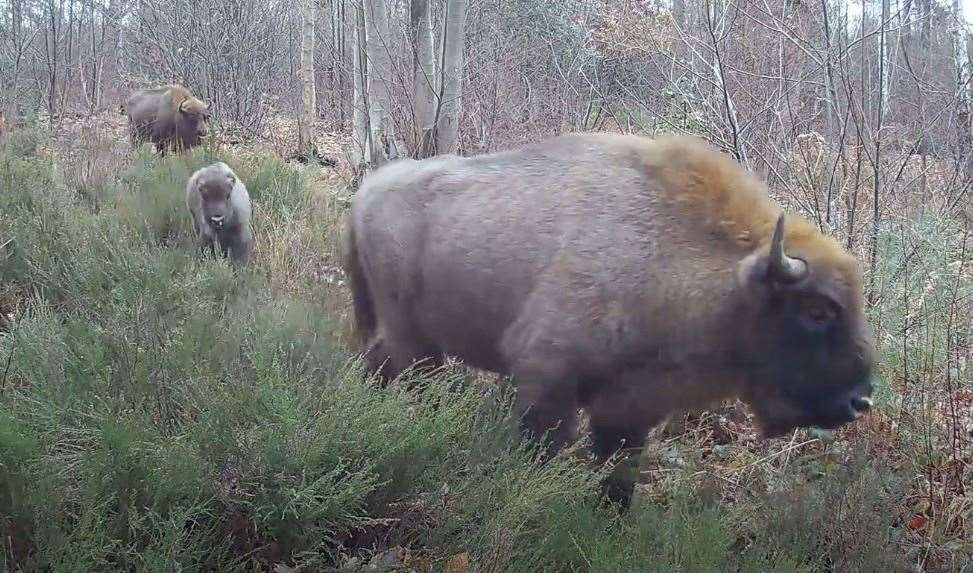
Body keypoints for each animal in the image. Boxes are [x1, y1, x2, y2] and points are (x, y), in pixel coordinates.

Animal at [346, 133, 876, 504]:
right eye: (818, 310)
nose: (860, 401)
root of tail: (367, 191)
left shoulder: (630, 407)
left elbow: (618, 478)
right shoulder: (546, 378)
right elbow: (543, 452)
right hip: (410, 339)